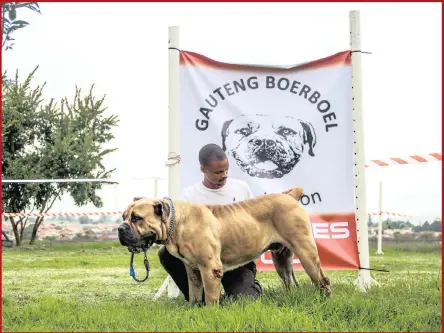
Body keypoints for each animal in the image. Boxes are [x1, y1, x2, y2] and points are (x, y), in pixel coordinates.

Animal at [118, 185, 330, 304]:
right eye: (123, 217)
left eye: (137, 218)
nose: (120, 228)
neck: (176, 222)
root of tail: (289, 195)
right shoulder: (193, 271)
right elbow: (195, 294)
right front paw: (193, 310)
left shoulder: (210, 269)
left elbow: (211, 297)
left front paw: (209, 313)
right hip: (281, 259)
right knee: (290, 281)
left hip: (306, 252)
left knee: (322, 280)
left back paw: (324, 301)